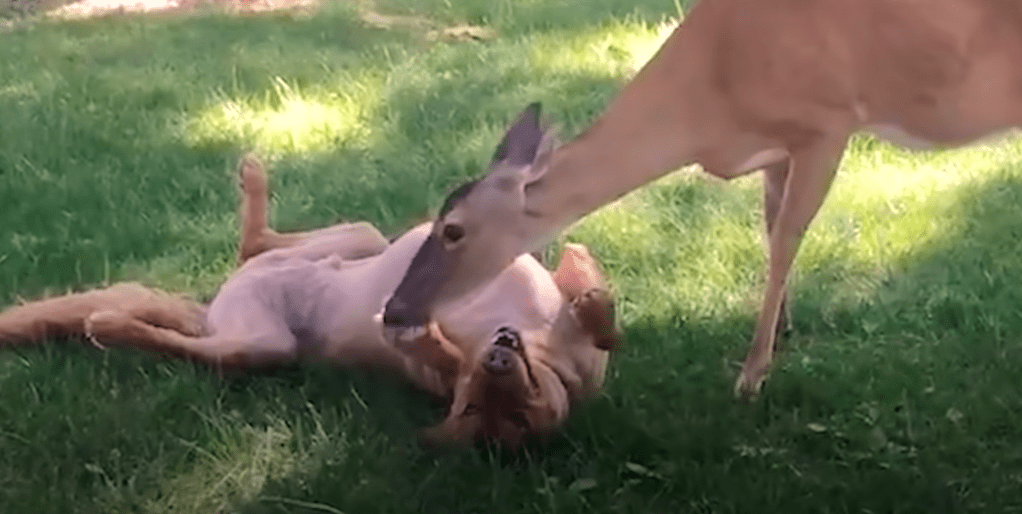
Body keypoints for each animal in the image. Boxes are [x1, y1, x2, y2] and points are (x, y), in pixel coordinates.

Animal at [0, 156, 621, 447]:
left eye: (513, 415)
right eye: (474, 407)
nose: (494, 359)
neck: (545, 352)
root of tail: (213, 308)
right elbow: (598, 311)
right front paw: (588, 287)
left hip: (261, 345)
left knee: (195, 344)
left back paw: (112, 325)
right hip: (361, 238)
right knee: (257, 243)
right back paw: (253, 179)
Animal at [380, 0, 1021, 398]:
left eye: (453, 229)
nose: (394, 311)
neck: (711, 100)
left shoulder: (827, 122)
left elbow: (784, 242)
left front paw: (752, 375)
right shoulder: (779, 149)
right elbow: (771, 229)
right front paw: (781, 331)